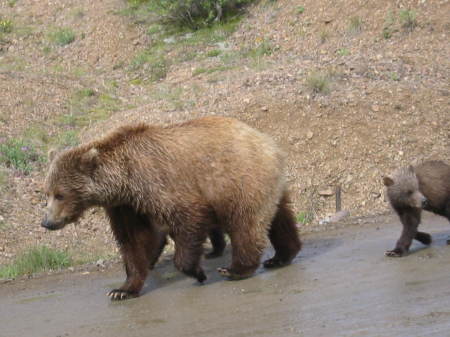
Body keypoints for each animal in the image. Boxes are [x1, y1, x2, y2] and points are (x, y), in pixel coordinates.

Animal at [41, 115, 302, 300]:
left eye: (60, 194)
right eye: (47, 192)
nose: (47, 222)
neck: (125, 180)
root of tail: (269, 142)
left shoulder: (158, 182)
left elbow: (187, 216)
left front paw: (197, 272)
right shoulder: (125, 206)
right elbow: (133, 241)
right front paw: (122, 290)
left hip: (239, 180)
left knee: (245, 223)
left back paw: (236, 269)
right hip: (267, 183)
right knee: (280, 218)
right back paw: (281, 256)